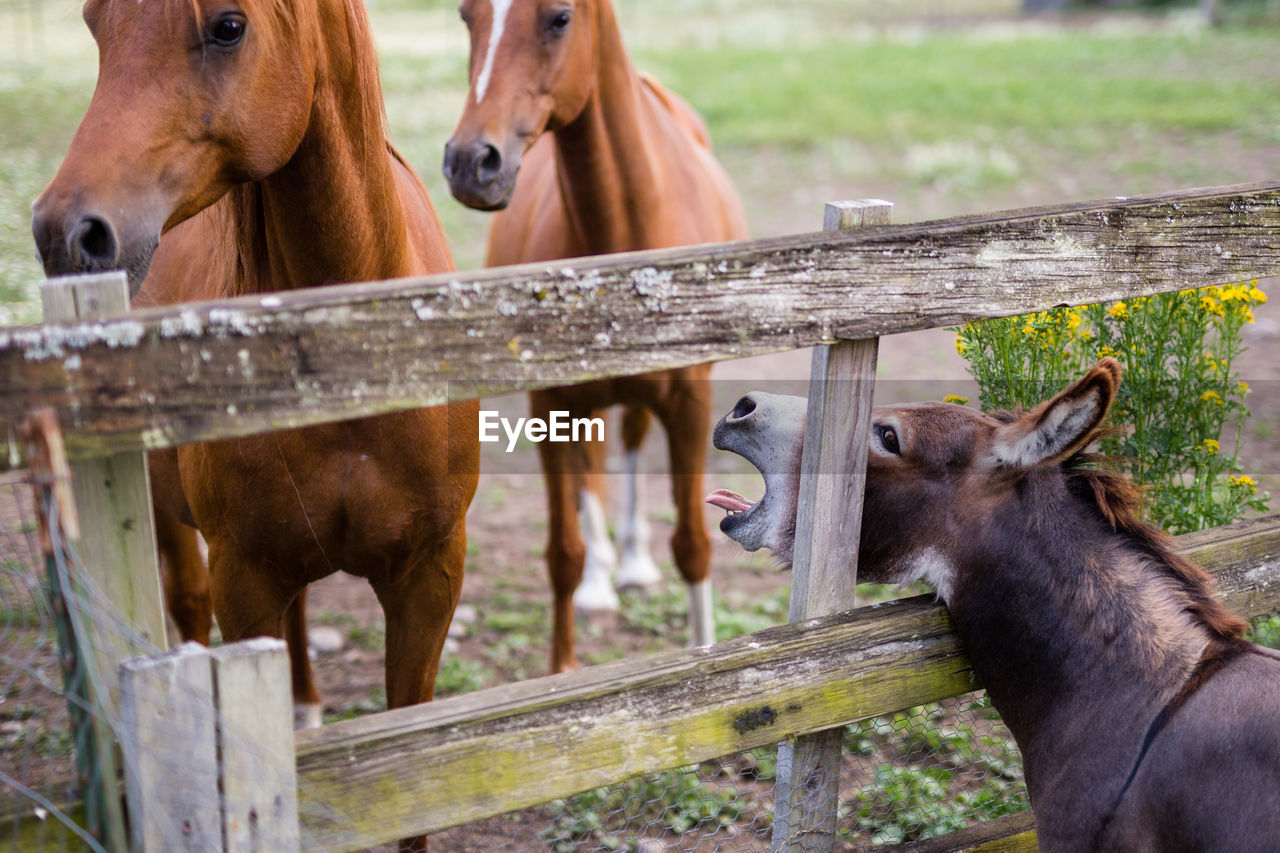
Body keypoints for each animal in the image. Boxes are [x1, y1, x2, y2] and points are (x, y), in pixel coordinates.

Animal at [448, 0, 752, 671]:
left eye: (560, 17)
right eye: (466, 16)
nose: (469, 163)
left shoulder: (690, 402)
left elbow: (693, 545)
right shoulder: (547, 403)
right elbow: (563, 552)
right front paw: (562, 670)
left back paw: (633, 563)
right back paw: (602, 582)